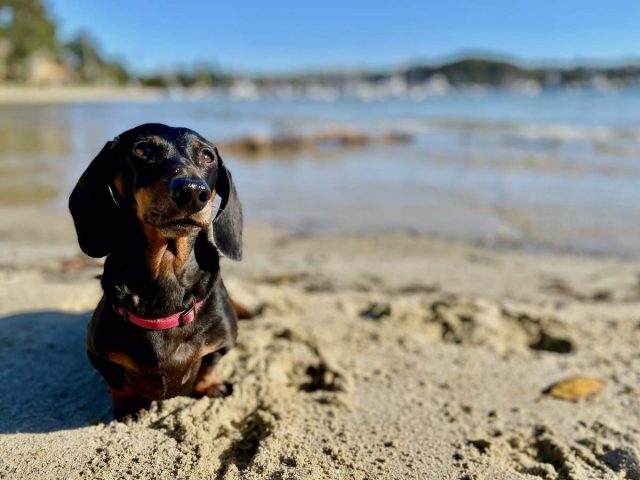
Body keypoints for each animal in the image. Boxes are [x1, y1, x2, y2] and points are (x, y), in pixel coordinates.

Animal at [68, 124, 242, 420]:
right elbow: (115, 379)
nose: (191, 191)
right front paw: (128, 403)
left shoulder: (225, 342)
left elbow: (210, 362)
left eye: (207, 156)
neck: (166, 271)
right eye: (143, 149)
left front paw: (211, 385)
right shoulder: (97, 353)